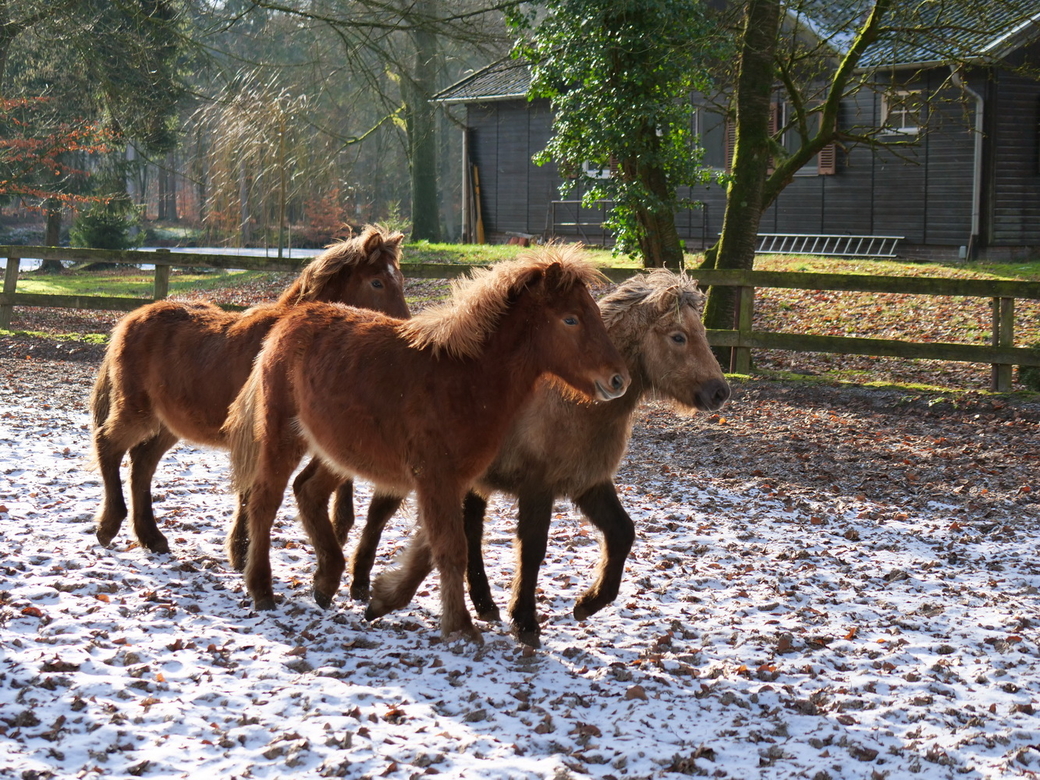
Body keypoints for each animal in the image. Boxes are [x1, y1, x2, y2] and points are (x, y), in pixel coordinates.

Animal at [89, 225, 407, 557]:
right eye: (377, 282)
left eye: (400, 280)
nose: (403, 330)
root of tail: (131, 319)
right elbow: (251, 487)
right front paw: (242, 551)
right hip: (137, 410)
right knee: (108, 444)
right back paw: (108, 526)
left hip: (169, 424)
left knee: (142, 463)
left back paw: (151, 537)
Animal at [223, 247, 628, 644]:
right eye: (570, 320)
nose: (617, 380)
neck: (466, 378)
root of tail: (288, 321)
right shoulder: (436, 476)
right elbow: (451, 547)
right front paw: (460, 627)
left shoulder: (453, 480)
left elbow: (432, 547)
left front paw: (383, 600)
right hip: (282, 435)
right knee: (264, 500)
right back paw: (261, 589)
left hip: (338, 452)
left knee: (308, 491)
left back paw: (326, 582)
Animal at [334, 268, 732, 648]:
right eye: (678, 337)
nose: (719, 392)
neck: (571, 402)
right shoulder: (537, 488)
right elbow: (533, 549)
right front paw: (526, 620)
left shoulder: (588, 484)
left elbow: (622, 533)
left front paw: (588, 603)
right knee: (380, 514)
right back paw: (361, 583)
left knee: (468, 531)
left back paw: (480, 603)